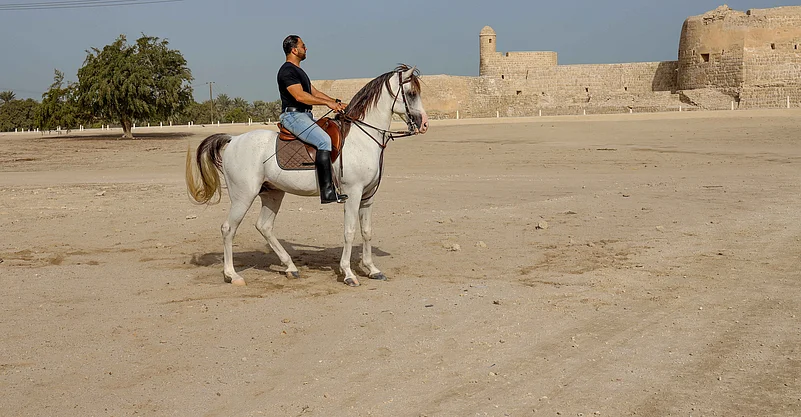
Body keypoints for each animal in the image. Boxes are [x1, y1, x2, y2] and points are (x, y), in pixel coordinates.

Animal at [185, 65, 429, 287]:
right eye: (411, 93)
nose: (424, 124)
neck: (362, 138)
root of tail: (234, 139)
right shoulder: (353, 193)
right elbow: (349, 232)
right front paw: (348, 273)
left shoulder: (368, 196)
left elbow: (367, 231)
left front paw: (372, 269)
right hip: (243, 196)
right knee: (228, 229)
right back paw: (232, 275)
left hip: (272, 194)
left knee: (264, 226)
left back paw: (290, 267)